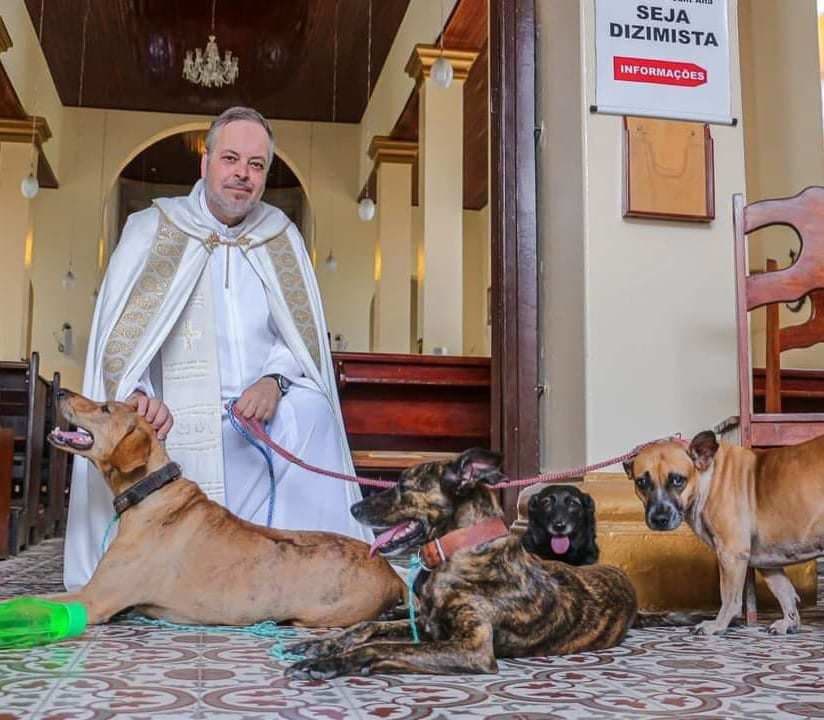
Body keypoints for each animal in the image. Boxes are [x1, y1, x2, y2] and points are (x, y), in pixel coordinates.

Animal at [286, 448, 640, 676]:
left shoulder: (472, 649)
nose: (354, 508)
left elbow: (382, 647)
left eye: (403, 486)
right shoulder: (427, 626)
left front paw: (329, 663)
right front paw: (322, 646)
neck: (458, 552)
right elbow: (368, 626)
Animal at [628, 430, 824, 632]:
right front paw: (789, 622)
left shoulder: (731, 555)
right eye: (641, 482)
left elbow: (729, 598)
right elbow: (784, 591)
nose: (659, 519)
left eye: (677, 480)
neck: (708, 477)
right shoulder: (768, 561)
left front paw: (718, 624)